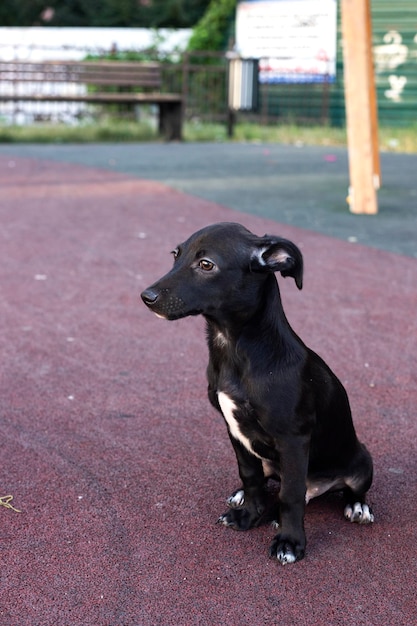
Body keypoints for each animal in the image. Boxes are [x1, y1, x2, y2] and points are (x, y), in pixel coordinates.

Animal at [141, 222, 374, 564]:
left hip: (361, 462)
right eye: (175, 255)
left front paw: (290, 542)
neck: (234, 348)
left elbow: (291, 496)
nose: (147, 296)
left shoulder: (293, 438)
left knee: (341, 489)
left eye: (206, 264)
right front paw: (250, 515)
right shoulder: (234, 429)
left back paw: (357, 506)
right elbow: (250, 476)